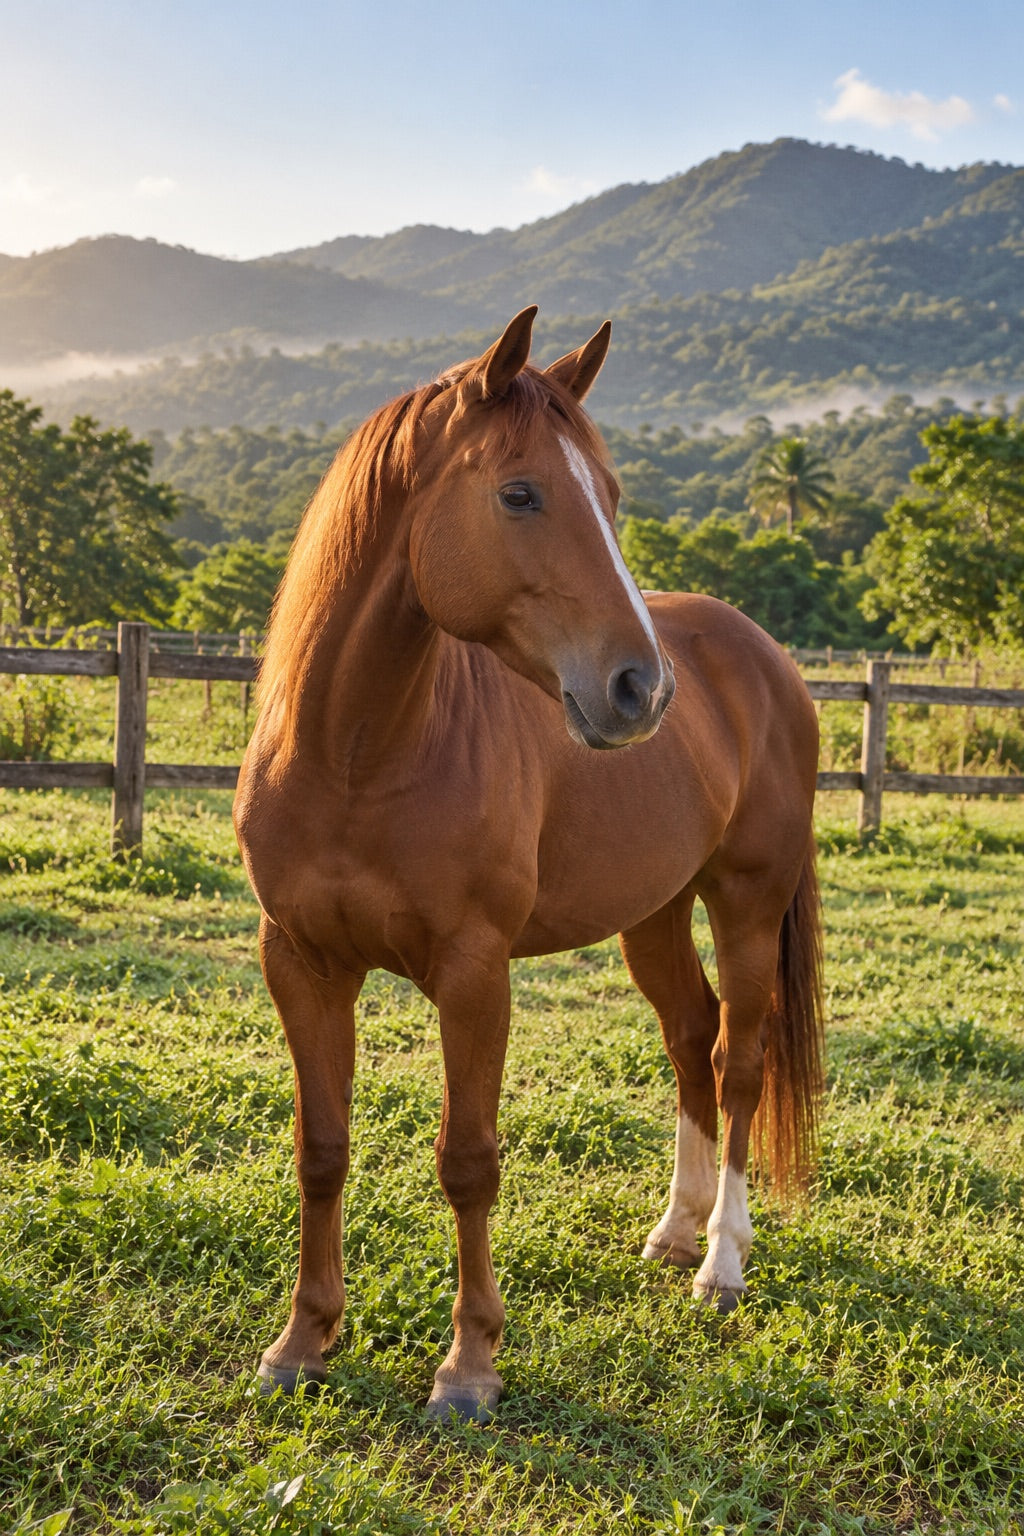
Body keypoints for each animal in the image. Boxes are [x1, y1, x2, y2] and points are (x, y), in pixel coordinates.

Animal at [233, 307, 823, 1421]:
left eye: (613, 496)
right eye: (519, 492)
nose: (641, 688)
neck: (356, 754)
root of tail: (763, 657)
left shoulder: (475, 975)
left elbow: (467, 1161)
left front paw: (469, 1366)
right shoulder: (300, 962)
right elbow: (321, 1149)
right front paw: (302, 1340)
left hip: (745, 898)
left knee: (738, 1058)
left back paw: (720, 1262)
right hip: (654, 912)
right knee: (690, 1037)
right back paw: (674, 1229)